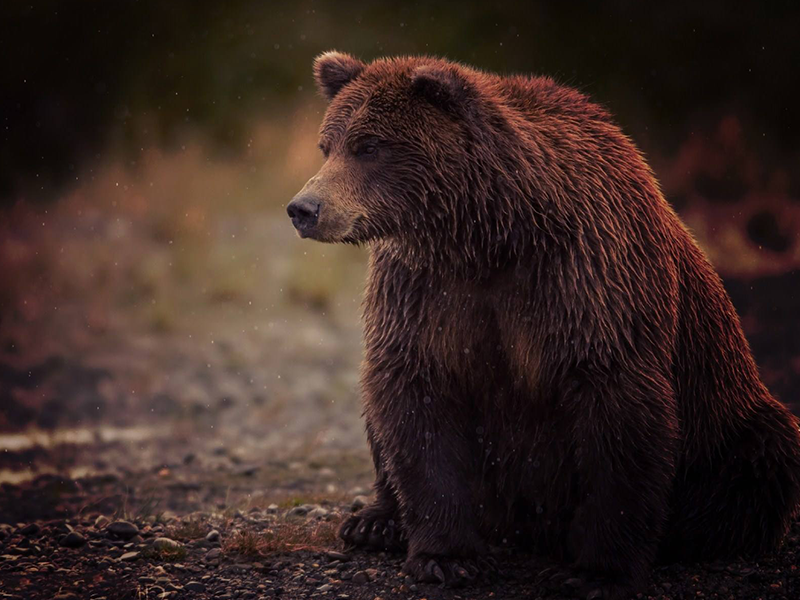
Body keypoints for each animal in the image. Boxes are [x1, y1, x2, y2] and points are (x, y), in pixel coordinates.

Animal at [286, 52, 800, 600]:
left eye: (368, 146)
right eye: (327, 145)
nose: (304, 209)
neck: (488, 236)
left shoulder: (587, 281)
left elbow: (617, 418)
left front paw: (596, 572)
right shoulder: (425, 293)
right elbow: (416, 399)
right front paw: (447, 557)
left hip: (728, 424)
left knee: (757, 462)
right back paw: (375, 521)